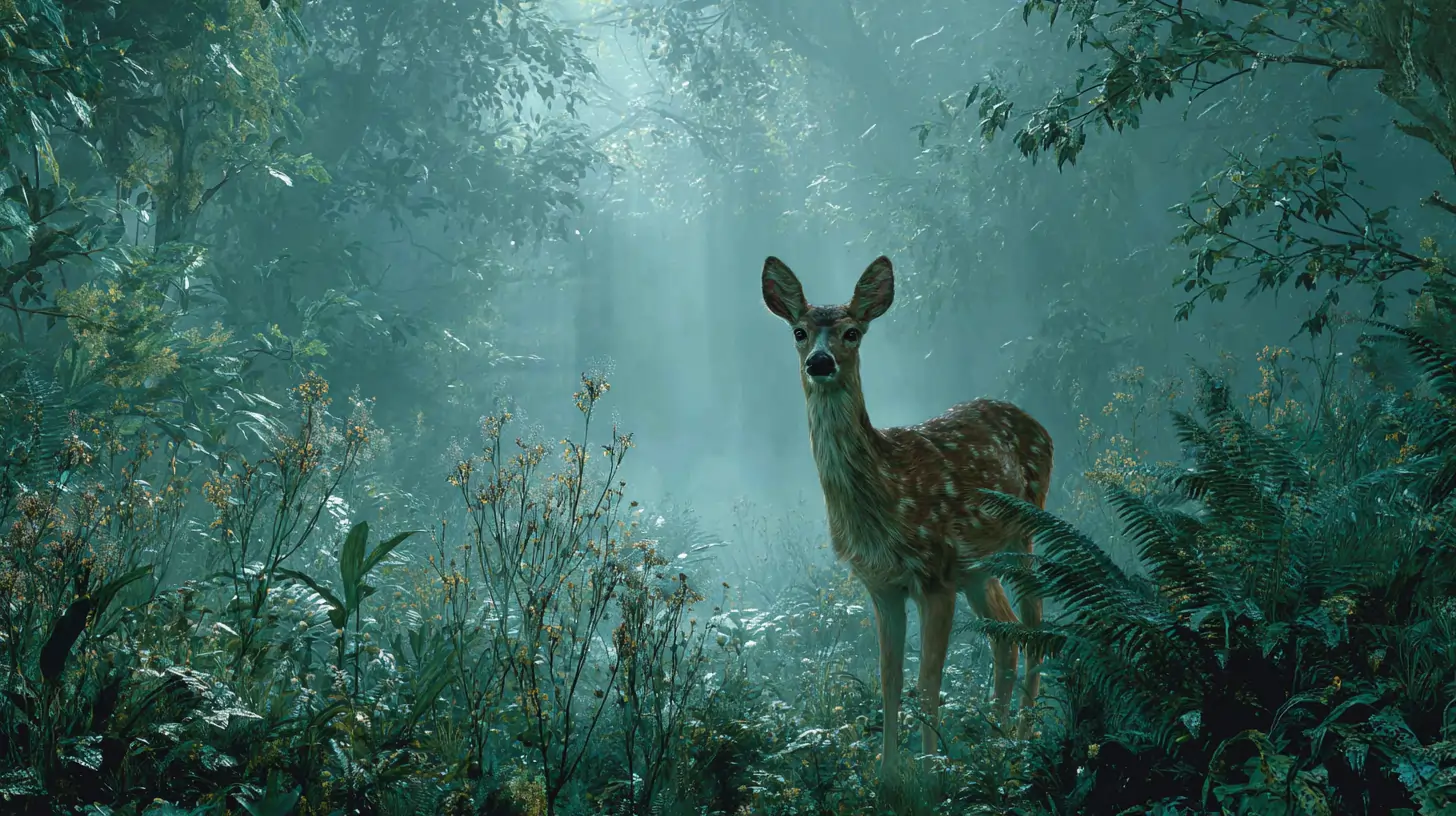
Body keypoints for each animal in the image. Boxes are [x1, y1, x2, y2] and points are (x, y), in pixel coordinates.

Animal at [760, 254, 1052, 780]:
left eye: (852, 332)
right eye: (799, 331)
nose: (820, 362)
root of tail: (1039, 425)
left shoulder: (934, 573)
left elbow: (927, 679)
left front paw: (932, 771)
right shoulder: (882, 585)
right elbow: (890, 679)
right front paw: (889, 773)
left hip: (1025, 529)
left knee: (1033, 628)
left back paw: (1021, 740)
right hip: (976, 566)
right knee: (1005, 634)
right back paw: (995, 743)